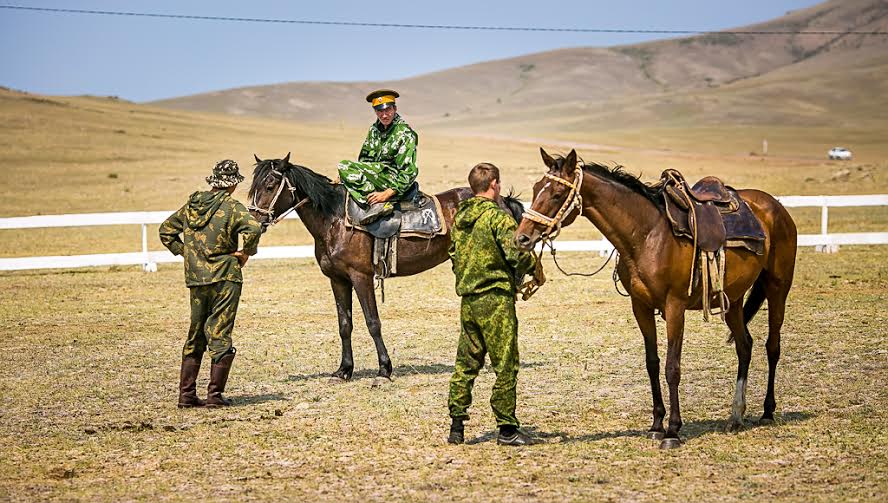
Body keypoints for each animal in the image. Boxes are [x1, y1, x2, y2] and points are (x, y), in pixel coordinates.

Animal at [248, 156, 528, 384]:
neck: (334, 219)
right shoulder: (337, 280)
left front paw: (384, 370)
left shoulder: (361, 277)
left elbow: (373, 322)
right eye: (253, 186)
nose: (254, 219)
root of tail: (503, 200)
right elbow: (344, 324)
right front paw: (344, 371)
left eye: (270, 185)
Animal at [512, 149, 796, 448]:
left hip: (778, 289)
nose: (522, 238)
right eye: (535, 189)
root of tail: (775, 206)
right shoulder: (641, 306)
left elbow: (672, 367)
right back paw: (736, 416)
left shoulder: (675, 307)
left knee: (772, 346)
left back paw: (767, 412)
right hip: (733, 299)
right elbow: (652, 363)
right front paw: (657, 425)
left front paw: (672, 431)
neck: (647, 235)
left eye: (556, 194)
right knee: (745, 346)